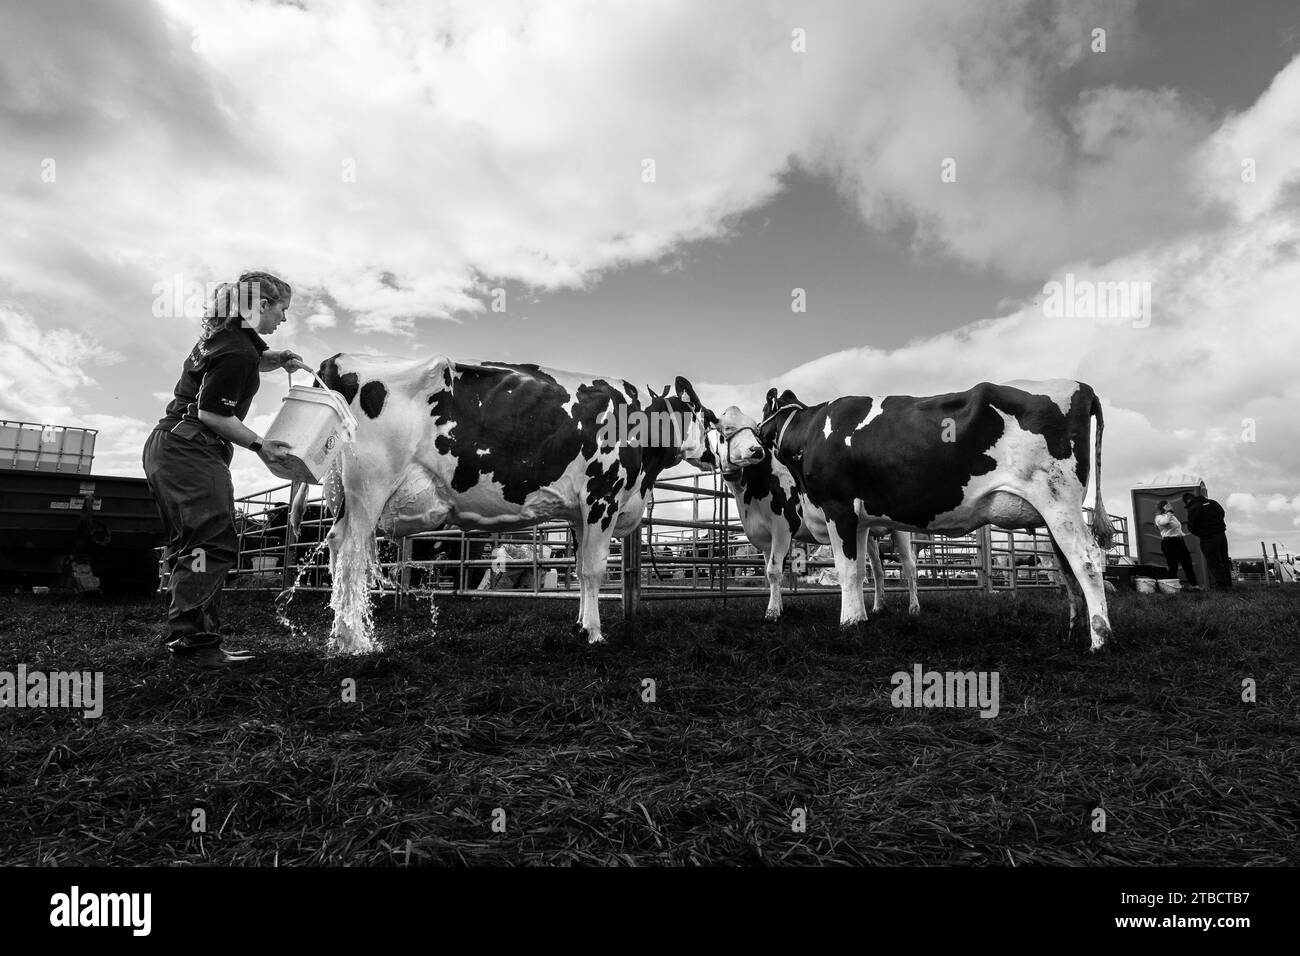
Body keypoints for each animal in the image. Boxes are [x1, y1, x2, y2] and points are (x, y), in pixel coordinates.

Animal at [299, 356, 717, 655]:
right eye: (711, 418)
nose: (718, 456)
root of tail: (336, 362)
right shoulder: (603, 496)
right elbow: (594, 568)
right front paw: (596, 633)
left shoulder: (580, 511)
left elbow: (581, 568)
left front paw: (581, 624)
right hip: (369, 486)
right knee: (351, 556)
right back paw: (355, 642)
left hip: (347, 495)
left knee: (336, 546)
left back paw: (340, 634)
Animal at [707, 408, 920, 624]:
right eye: (725, 429)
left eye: (755, 431)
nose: (756, 450)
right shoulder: (765, 535)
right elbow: (770, 570)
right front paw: (778, 606)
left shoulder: (783, 526)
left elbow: (774, 571)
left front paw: (772, 612)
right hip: (867, 532)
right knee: (877, 569)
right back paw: (878, 606)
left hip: (900, 528)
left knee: (910, 567)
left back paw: (914, 608)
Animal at [743, 382, 1118, 650]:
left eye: (761, 410)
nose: (752, 445)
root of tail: (1081, 387)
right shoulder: (859, 521)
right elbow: (862, 571)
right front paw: (862, 618)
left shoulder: (838, 507)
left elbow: (847, 570)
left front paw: (847, 622)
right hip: (1054, 513)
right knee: (1067, 568)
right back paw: (1073, 631)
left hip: (1059, 501)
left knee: (1086, 559)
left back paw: (1100, 639)